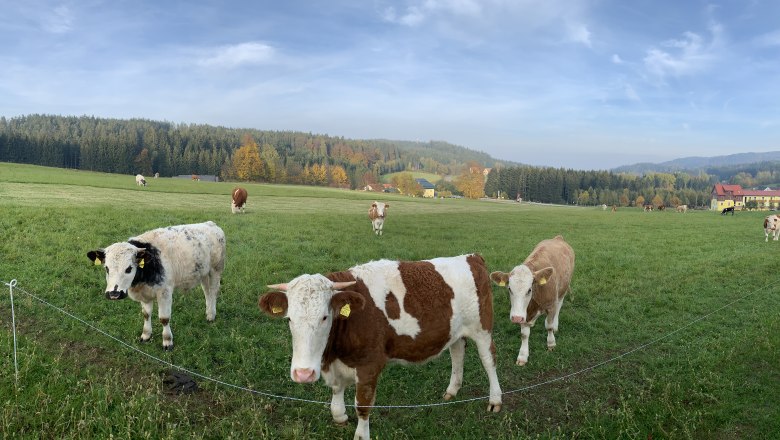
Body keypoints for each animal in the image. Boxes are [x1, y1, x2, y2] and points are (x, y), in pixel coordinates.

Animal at [86, 222, 225, 348]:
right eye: (107, 268)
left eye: (129, 268)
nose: (114, 294)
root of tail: (211, 224)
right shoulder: (145, 295)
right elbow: (146, 314)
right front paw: (146, 335)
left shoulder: (165, 292)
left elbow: (164, 318)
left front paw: (167, 341)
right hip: (204, 273)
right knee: (207, 292)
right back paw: (208, 312)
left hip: (216, 269)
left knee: (213, 292)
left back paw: (211, 316)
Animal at [256, 254, 500, 440]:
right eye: (289, 319)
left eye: (325, 317)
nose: (303, 374)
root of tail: (472, 257)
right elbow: (336, 392)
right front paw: (340, 415)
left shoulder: (370, 365)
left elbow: (363, 404)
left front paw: (361, 435)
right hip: (455, 331)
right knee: (457, 353)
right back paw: (452, 390)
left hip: (482, 328)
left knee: (489, 360)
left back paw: (495, 400)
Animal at [490, 235, 576, 366]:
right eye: (509, 289)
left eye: (529, 290)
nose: (516, 318)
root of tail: (558, 238)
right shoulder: (524, 313)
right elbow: (524, 335)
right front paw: (522, 356)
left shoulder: (551, 306)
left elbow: (549, 326)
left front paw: (551, 343)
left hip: (563, 288)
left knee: (559, 306)